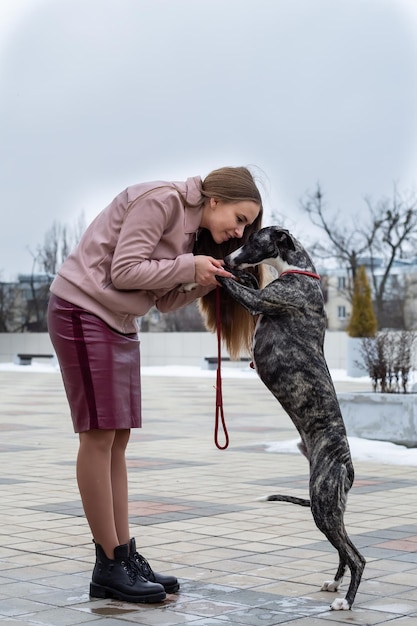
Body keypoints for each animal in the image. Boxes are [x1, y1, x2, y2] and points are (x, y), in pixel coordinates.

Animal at [216, 225, 366, 608]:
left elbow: (233, 285)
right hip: (330, 507)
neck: (300, 272)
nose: (227, 257)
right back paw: (334, 584)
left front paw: (210, 266)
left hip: (323, 505)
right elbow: (244, 282)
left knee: (356, 556)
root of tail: (348, 467)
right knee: (344, 551)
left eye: (252, 240)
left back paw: (345, 601)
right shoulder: (259, 297)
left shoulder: (262, 302)